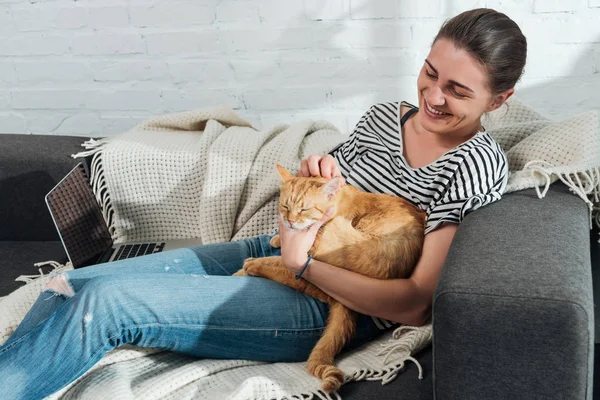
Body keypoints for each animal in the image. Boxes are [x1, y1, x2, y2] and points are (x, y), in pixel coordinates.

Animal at [234, 164, 426, 392]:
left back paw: (250, 267)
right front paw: (277, 238)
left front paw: (263, 254)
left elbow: (282, 261)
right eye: (285, 206)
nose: (290, 221)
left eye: (304, 209)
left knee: (286, 273)